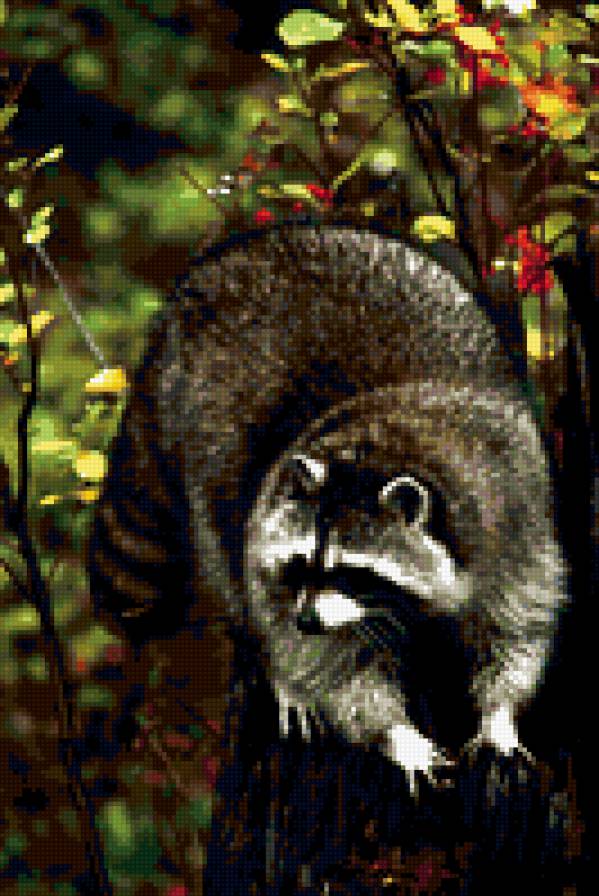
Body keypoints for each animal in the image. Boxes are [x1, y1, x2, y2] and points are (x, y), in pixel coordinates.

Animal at [90, 225, 566, 795]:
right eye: (303, 563)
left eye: (349, 570)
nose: (308, 619)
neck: (387, 448)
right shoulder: (272, 522)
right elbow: (332, 660)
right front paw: (394, 732)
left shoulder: (518, 508)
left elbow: (518, 623)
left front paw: (499, 714)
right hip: (199, 434)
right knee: (232, 559)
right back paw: (278, 664)